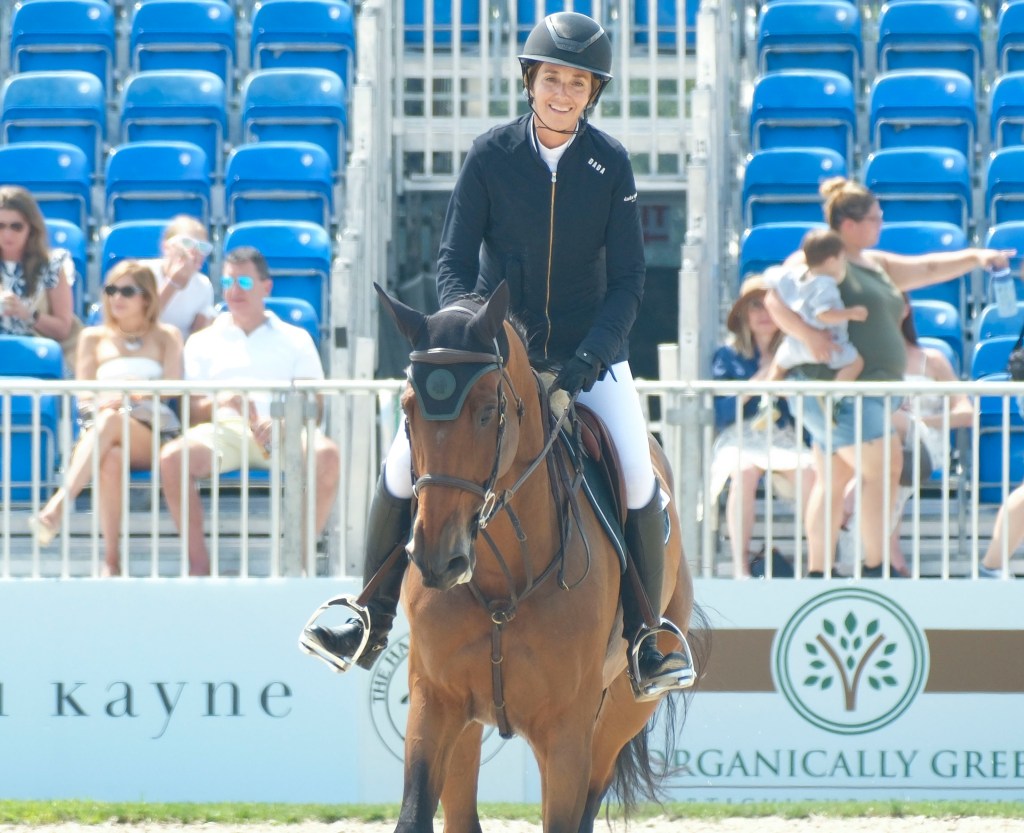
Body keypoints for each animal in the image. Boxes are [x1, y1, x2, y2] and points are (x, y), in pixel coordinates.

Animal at [376, 282, 704, 827]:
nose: (439, 560)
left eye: (488, 411)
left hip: (623, 711)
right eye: (407, 410)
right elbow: (415, 815)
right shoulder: (434, 702)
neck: (504, 577)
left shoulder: (567, 732)